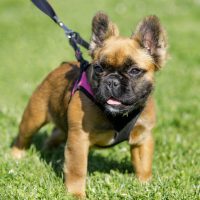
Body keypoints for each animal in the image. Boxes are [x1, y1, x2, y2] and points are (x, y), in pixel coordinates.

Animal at [11, 11, 167, 198]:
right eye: (99, 68)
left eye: (134, 71)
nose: (112, 81)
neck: (117, 114)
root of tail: (60, 67)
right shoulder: (79, 140)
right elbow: (77, 170)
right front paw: (76, 194)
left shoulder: (143, 138)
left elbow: (143, 165)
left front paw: (144, 185)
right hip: (33, 118)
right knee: (23, 137)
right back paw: (16, 156)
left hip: (63, 127)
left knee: (55, 134)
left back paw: (48, 151)